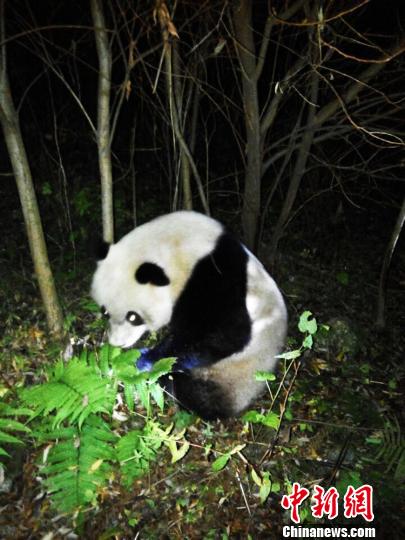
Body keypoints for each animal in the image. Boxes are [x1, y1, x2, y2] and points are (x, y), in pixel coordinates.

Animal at [91, 210, 288, 418]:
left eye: (133, 317)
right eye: (105, 312)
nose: (117, 343)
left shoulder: (215, 277)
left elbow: (224, 334)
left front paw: (147, 358)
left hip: (238, 372)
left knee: (200, 394)